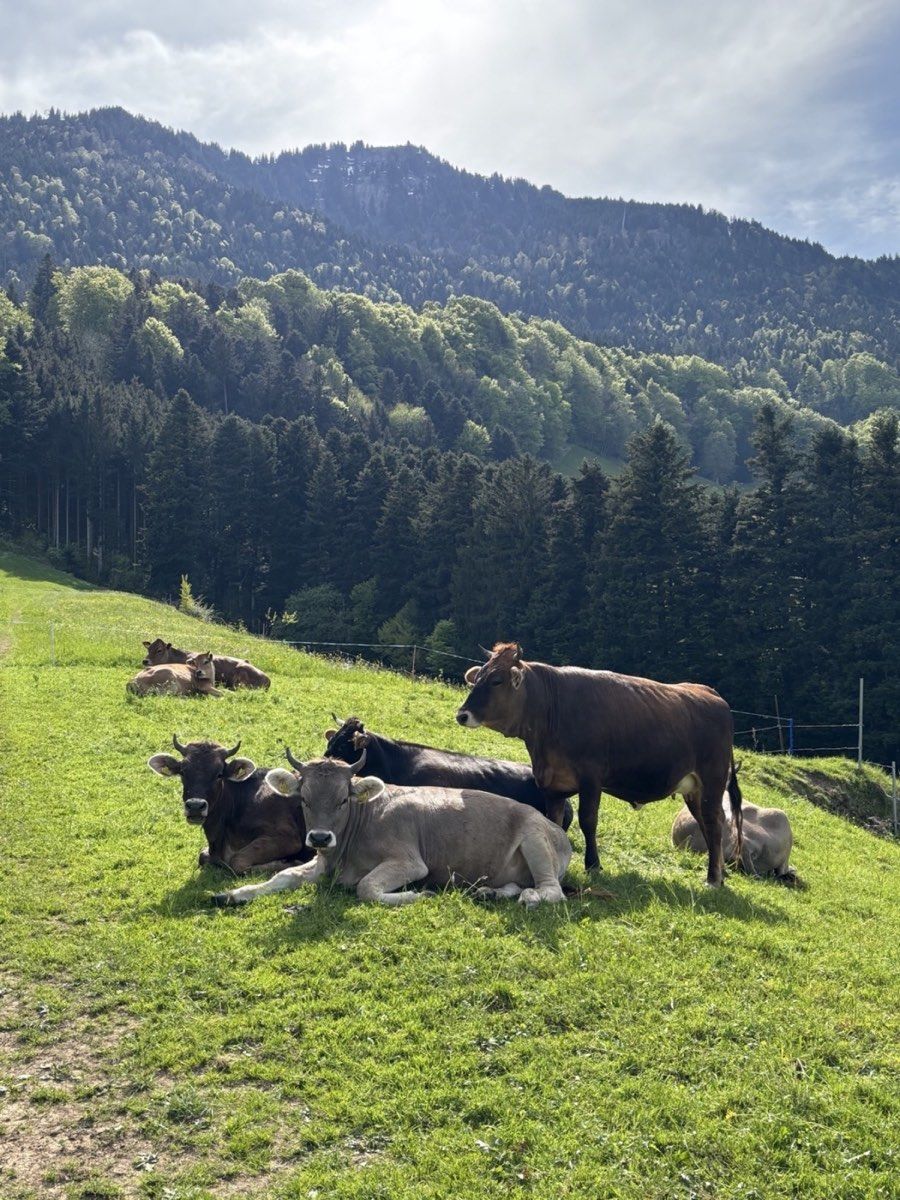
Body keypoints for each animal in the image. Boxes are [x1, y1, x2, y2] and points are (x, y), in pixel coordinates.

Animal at [147, 736, 311, 873]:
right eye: (183, 772)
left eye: (219, 774)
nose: (195, 806)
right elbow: (203, 856)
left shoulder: (289, 837)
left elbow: (236, 861)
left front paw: (291, 863)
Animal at [211, 751, 572, 909]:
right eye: (303, 798)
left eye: (343, 799)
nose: (319, 837)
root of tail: (555, 827)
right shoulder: (321, 862)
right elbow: (282, 876)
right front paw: (233, 893)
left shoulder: (410, 862)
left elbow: (367, 887)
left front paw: (417, 894)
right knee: (515, 884)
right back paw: (490, 892)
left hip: (535, 840)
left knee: (551, 890)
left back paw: (530, 897)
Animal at [456, 642, 742, 887]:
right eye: (477, 678)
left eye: (496, 681)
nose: (462, 715)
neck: (551, 710)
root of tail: (710, 693)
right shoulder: (552, 783)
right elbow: (552, 821)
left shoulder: (591, 778)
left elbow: (588, 820)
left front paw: (593, 864)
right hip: (695, 790)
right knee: (710, 822)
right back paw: (721, 873)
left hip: (712, 779)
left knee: (713, 823)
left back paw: (712, 878)